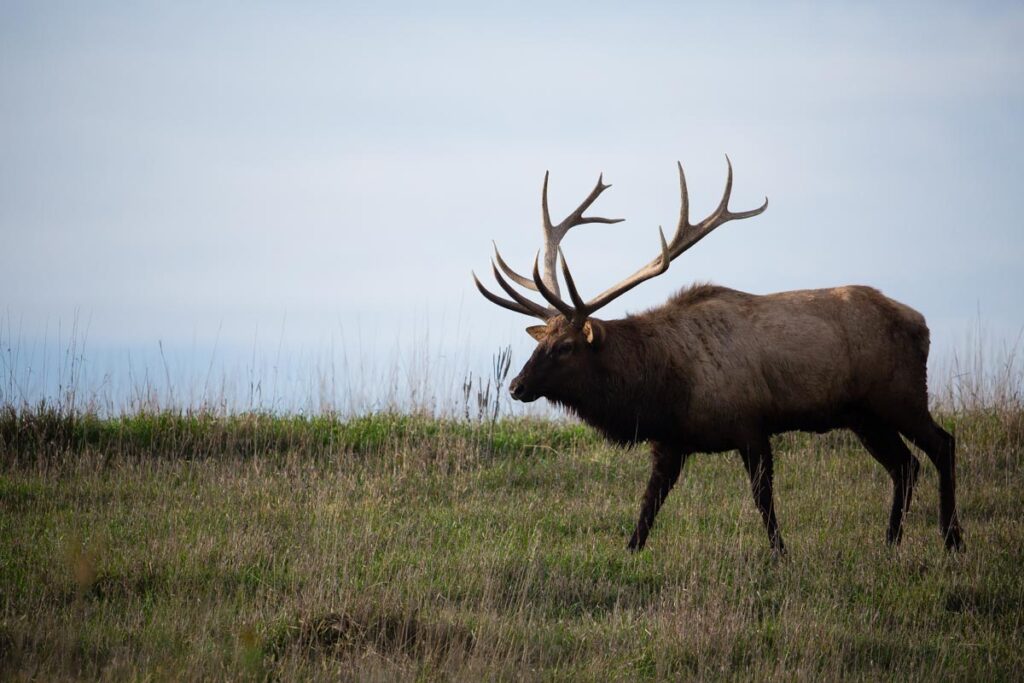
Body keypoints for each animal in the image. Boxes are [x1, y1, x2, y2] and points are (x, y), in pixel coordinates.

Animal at [471, 158, 958, 557]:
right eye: (540, 341)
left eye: (566, 346)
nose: (516, 386)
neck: (664, 385)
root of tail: (921, 323)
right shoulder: (670, 440)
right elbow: (649, 503)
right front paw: (629, 550)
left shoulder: (750, 424)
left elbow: (763, 498)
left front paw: (780, 552)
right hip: (862, 414)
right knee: (905, 465)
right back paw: (891, 541)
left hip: (900, 394)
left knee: (941, 445)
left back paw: (952, 539)